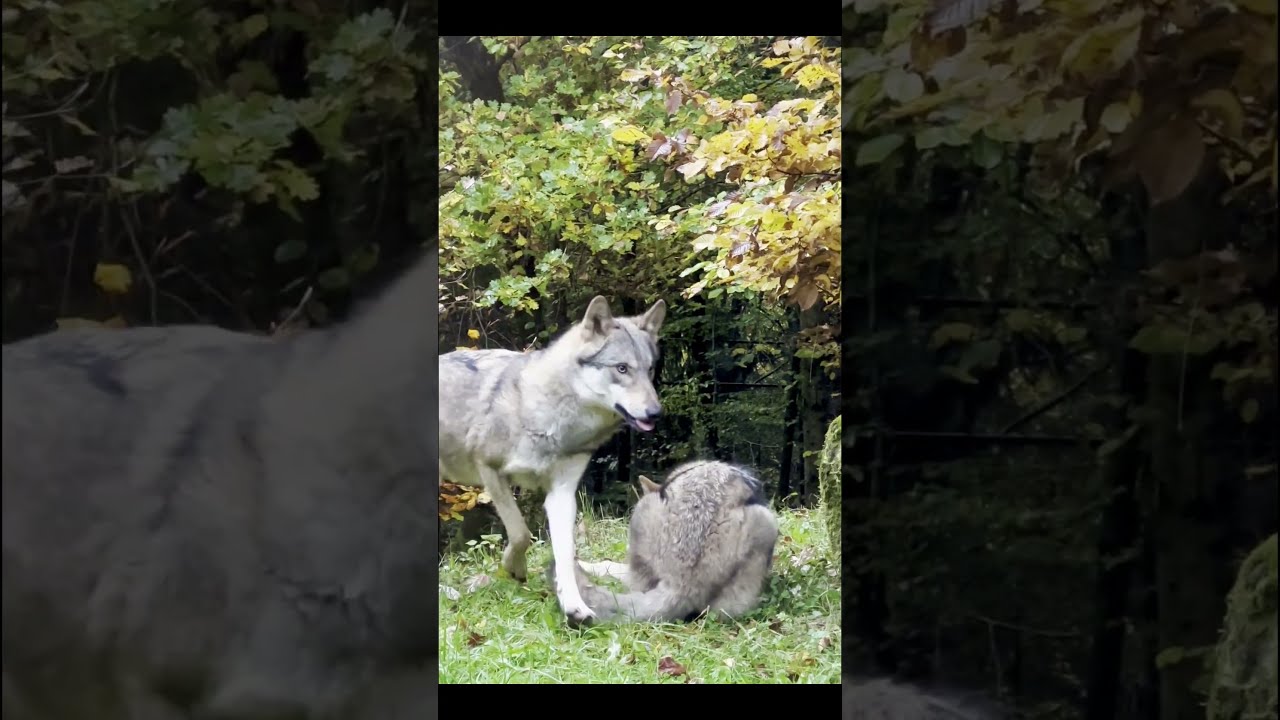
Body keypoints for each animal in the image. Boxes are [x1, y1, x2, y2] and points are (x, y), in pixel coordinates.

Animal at [438, 295, 665, 624]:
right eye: (622, 368)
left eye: (649, 370)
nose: (655, 413)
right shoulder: (490, 471)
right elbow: (521, 533)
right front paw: (514, 568)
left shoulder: (562, 494)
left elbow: (565, 554)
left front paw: (574, 606)